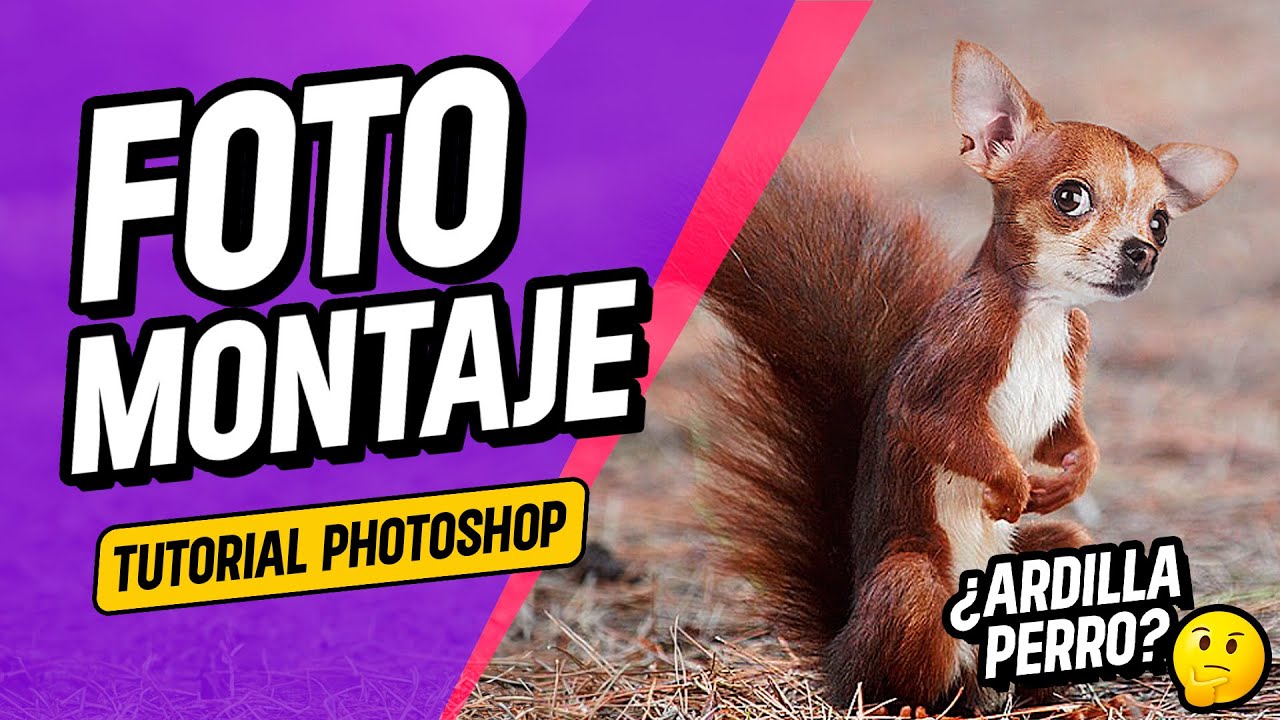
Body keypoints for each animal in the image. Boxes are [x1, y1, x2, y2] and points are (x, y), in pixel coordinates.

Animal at [700, 41, 1236, 712]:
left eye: (1162, 221)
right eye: (1070, 197)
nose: (1143, 251)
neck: (1043, 314)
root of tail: (838, 642)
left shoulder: (1072, 359)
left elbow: (1067, 432)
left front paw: (1073, 474)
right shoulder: (956, 347)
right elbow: (929, 419)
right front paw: (1009, 485)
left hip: (1050, 566)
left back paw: (1058, 694)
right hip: (911, 590)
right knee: (900, 676)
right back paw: (914, 704)